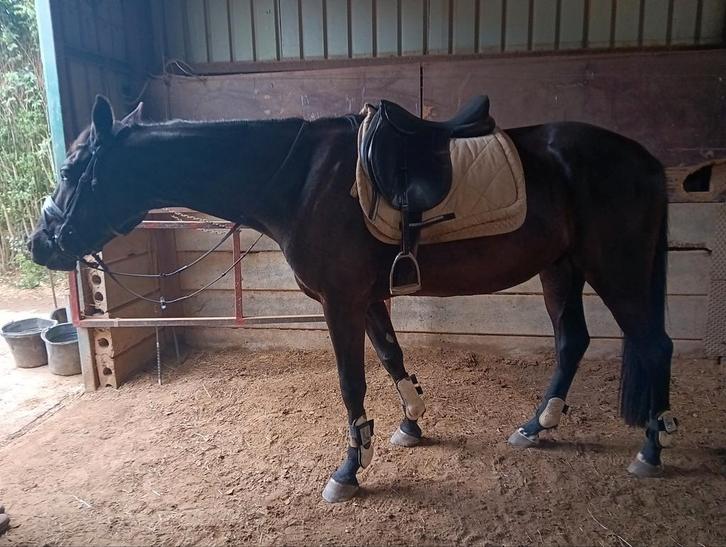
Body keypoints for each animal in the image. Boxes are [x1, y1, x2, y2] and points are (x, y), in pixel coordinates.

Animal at [30, 95, 677, 503]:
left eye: (70, 169)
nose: (41, 242)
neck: (300, 179)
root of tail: (646, 160)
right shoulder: (367, 299)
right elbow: (391, 358)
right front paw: (410, 425)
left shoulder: (338, 302)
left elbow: (351, 382)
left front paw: (348, 471)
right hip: (561, 269)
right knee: (573, 341)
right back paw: (535, 426)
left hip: (615, 269)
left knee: (653, 344)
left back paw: (651, 448)